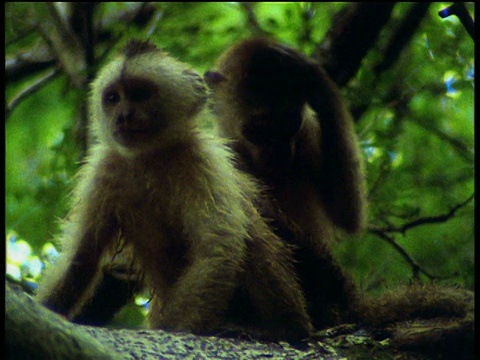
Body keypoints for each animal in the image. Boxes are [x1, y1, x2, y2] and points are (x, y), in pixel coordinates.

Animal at [37, 40, 316, 342]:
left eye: (140, 94)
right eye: (112, 98)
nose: (123, 116)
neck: (149, 158)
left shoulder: (203, 161)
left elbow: (216, 249)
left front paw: (182, 330)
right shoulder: (103, 171)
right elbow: (80, 258)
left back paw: (286, 327)